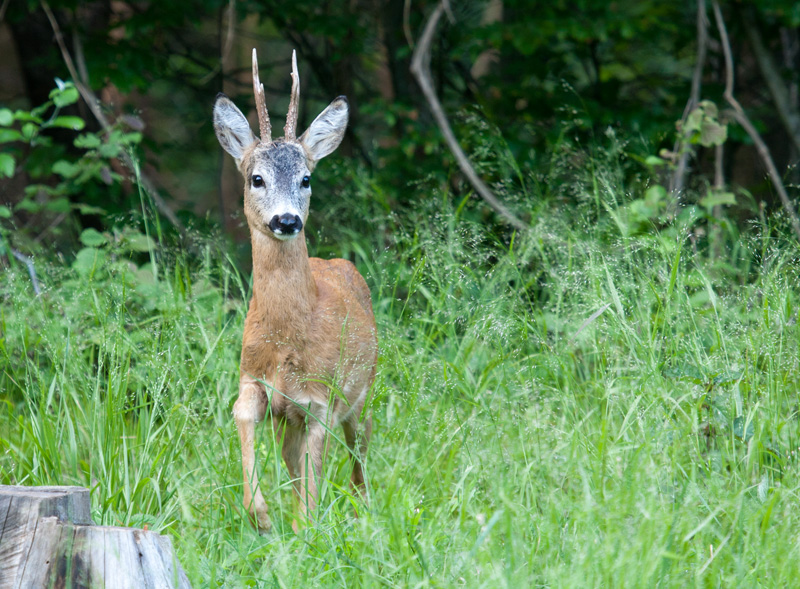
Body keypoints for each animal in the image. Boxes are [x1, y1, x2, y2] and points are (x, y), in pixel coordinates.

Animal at [211, 48, 376, 532]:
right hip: (292, 416)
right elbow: (242, 416)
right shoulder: (252, 378)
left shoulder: (322, 396)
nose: (287, 220)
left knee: (361, 443)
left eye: (306, 179)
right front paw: (262, 516)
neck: (286, 340)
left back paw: (362, 509)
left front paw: (307, 529)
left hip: (364, 388)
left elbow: (315, 475)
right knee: (293, 455)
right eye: (256, 179)